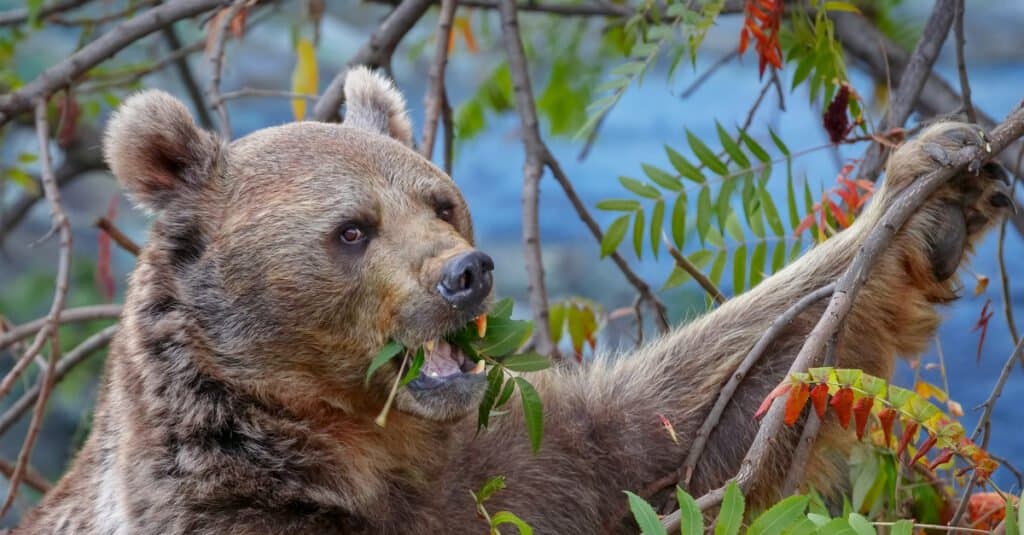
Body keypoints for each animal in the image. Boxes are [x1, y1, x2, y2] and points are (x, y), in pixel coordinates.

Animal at [14, 67, 1007, 532]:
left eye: (438, 199)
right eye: (352, 229)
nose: (466, 272)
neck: (352, 448)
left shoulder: (516, 466)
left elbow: (683, 430)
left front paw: (937, 184)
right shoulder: (234, 509)